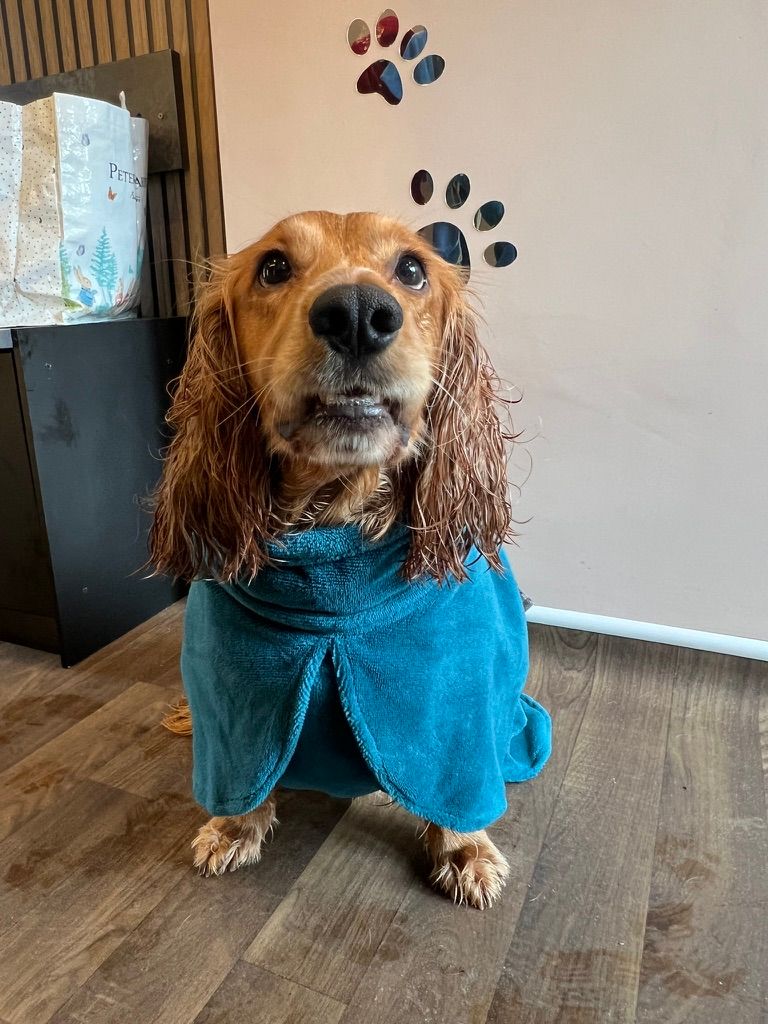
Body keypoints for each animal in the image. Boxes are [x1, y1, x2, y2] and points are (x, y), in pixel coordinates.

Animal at [150, 211, 548, 909]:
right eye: (273, 267)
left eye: (412, 269)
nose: (358, 313)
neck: (333, 519)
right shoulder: (231, 698)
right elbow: (237, 769)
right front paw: (233, 825)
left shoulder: (454, 702)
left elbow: (457, 778)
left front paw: (463, 848)